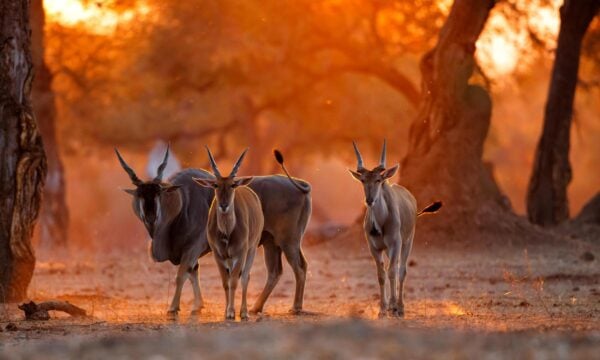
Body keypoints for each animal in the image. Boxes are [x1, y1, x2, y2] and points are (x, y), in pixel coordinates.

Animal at [114, 145, 213, 316]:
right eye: (139, 195)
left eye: (158, 193)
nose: (151, 217)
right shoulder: (191, 253)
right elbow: (192, 271)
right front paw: (198, 305)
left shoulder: (193, 247)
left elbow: (181, 274)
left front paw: (173, 307)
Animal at [346, 141, 440, 318]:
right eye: (363, 180)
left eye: (378, 180)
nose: (369, 200)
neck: (380, 223)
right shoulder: (374, 248)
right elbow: (381, 275)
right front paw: (383, 309)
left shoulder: (396, 244)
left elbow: (392, 272)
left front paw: (394, 307)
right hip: (390, 249)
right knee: (394, 269)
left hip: (407, 242)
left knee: (401, 270)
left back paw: (400, 307)